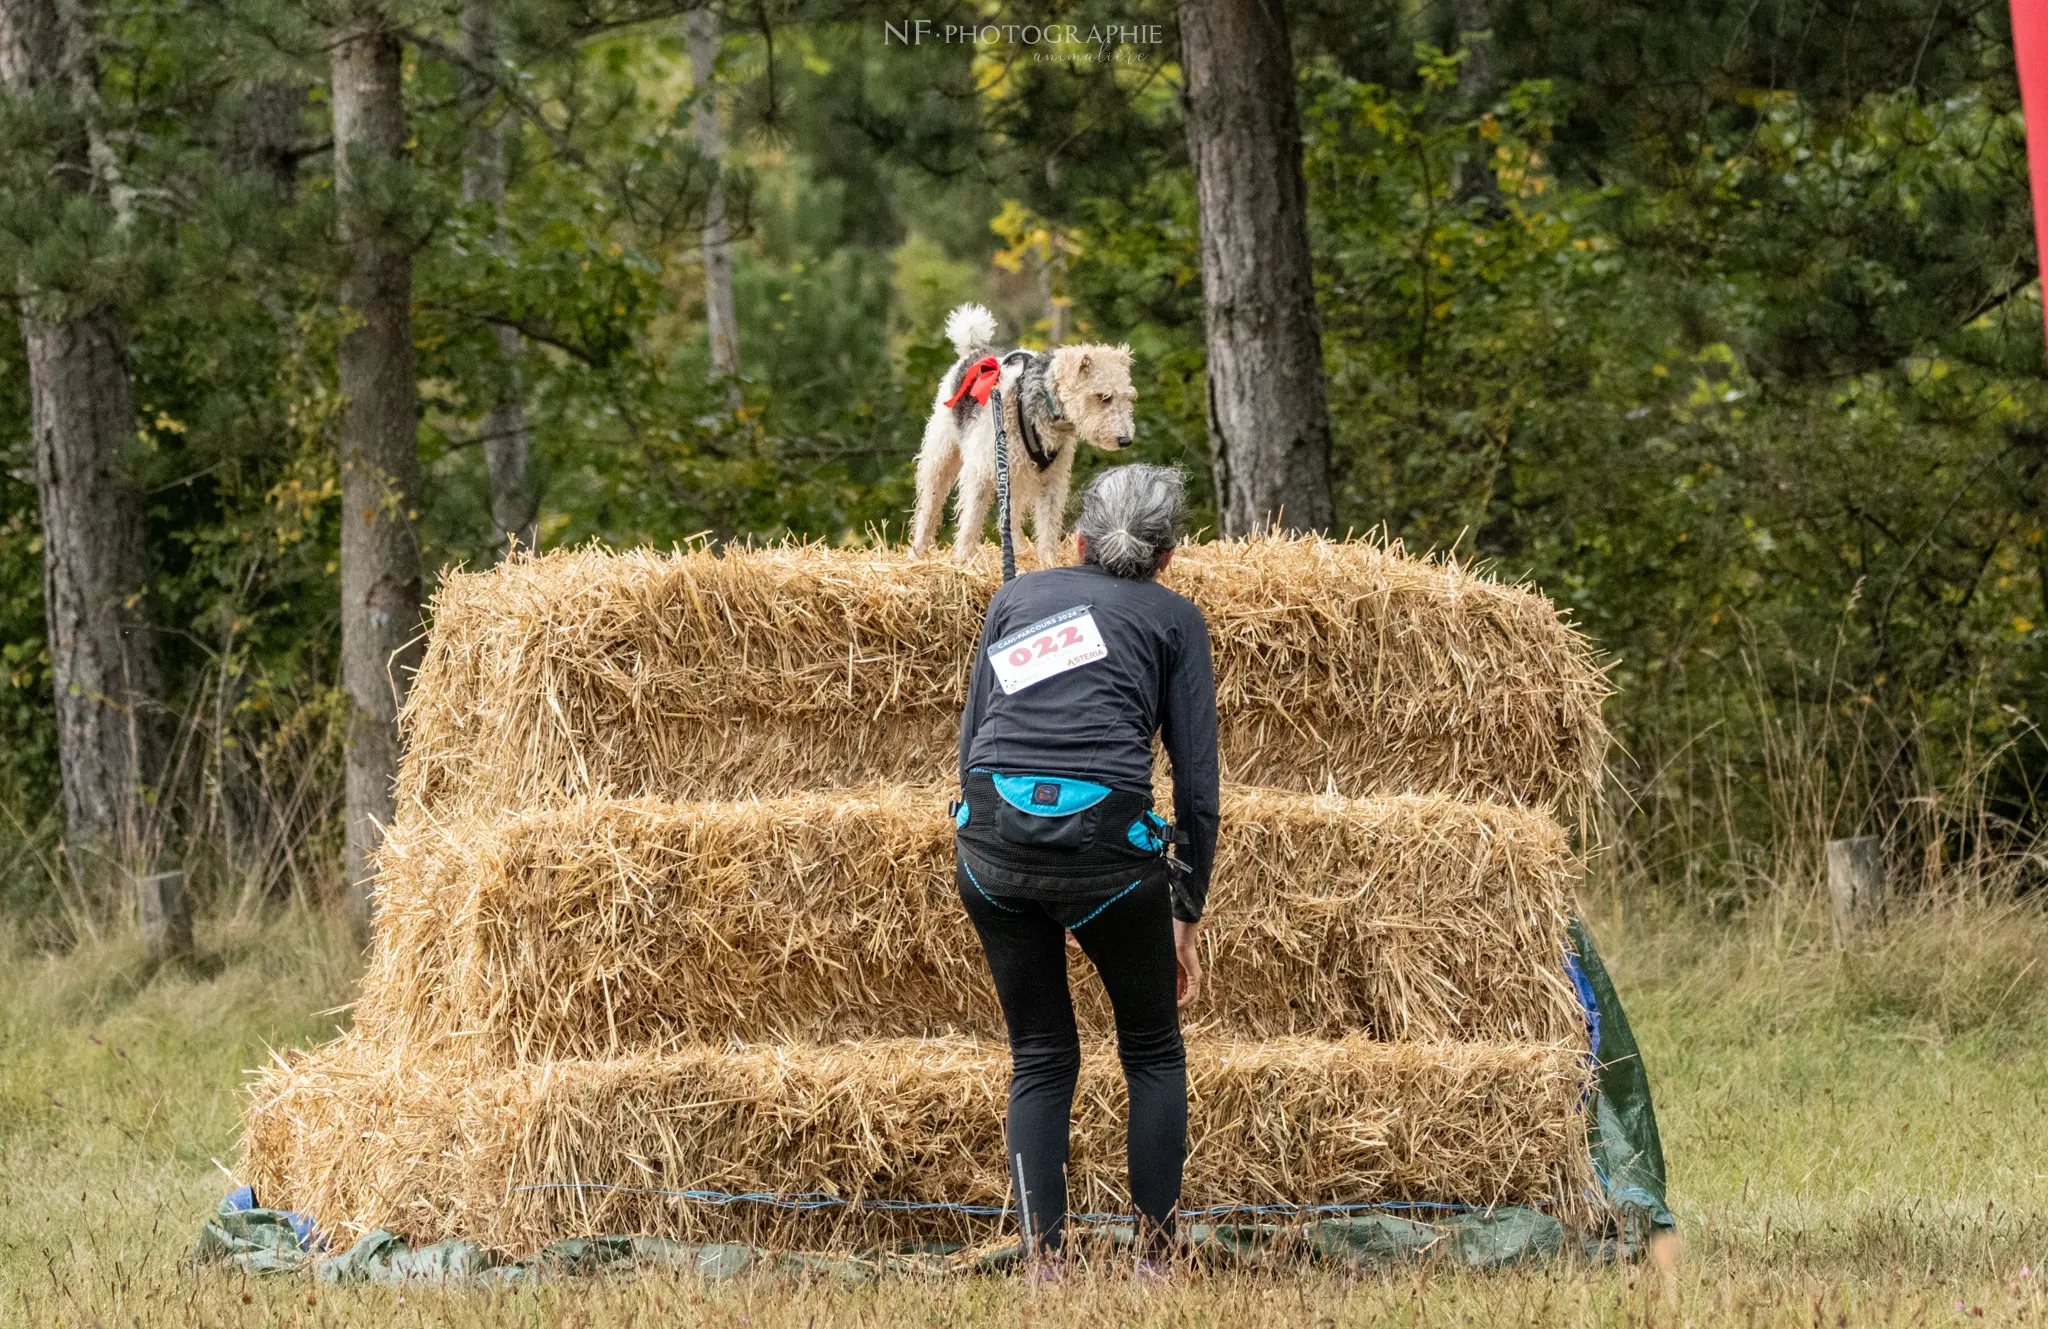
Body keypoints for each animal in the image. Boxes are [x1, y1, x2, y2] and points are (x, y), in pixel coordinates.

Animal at [909, 301, 1138, 565]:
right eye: (1103, 397)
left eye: (1129, 398)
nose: (1125, 440)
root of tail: (975, 351)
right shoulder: (979, 471)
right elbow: (971, 521)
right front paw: (964, 561)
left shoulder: (1052, 479)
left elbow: (1048, 526)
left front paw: (1048, 562)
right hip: (941, 455)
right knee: (929, 506)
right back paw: (917, 552)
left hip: (1015, 474)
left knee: (1013, 518)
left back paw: (1017, 551)